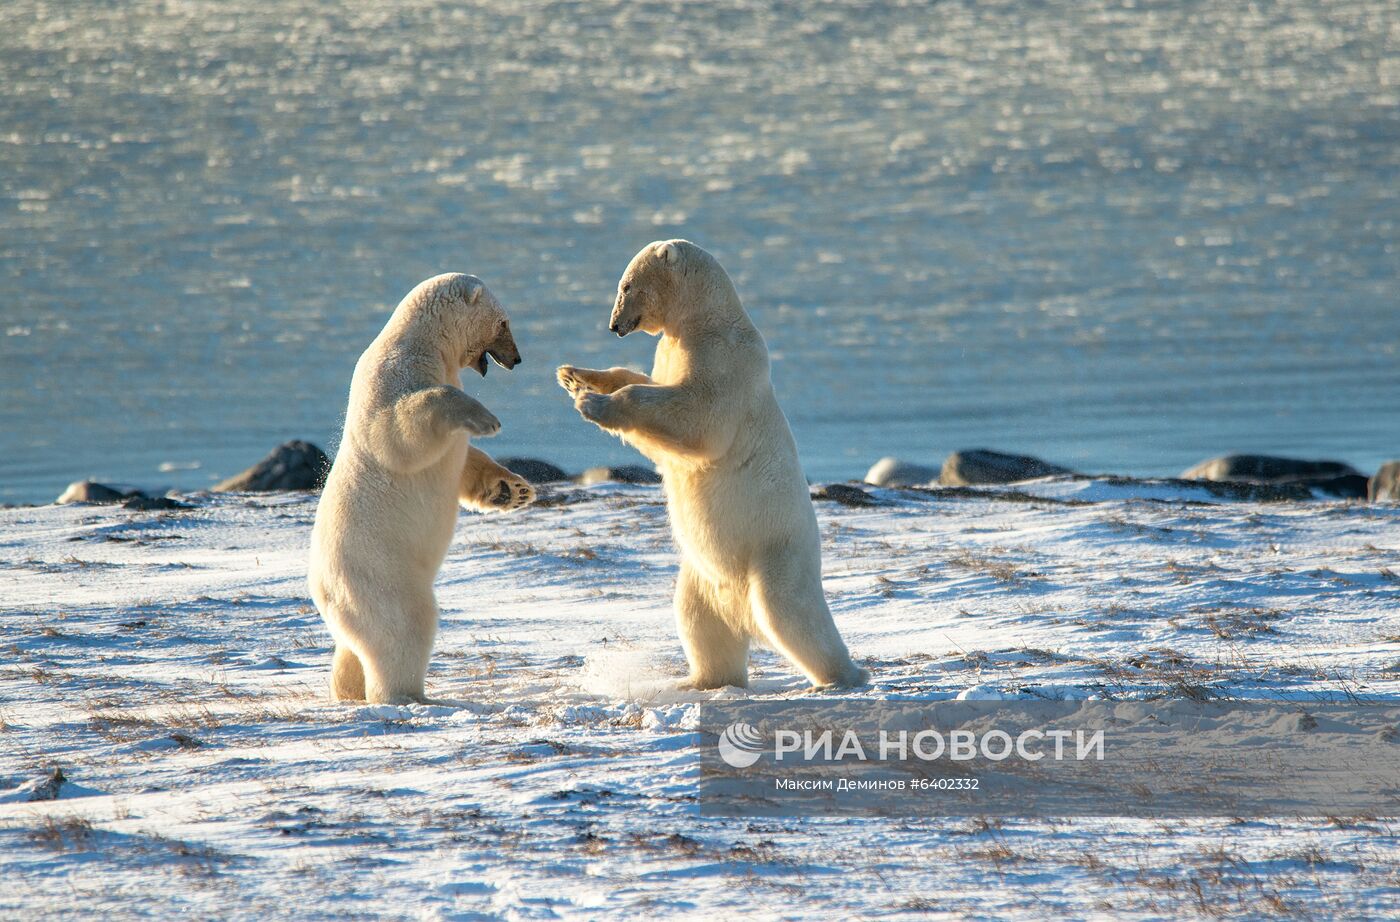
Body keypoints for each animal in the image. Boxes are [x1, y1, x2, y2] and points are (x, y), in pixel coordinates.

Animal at [309, 270, 532, 702]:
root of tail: (321, 590)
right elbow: (399, 430)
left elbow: (463, 461)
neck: (425, 343)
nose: (516, 359)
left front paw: (513, 490)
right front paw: (487, 419)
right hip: (379, 575)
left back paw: (347, 691)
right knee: (404, 627)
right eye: (504, 322)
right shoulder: (393, 375)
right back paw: (409, 695)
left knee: (352, 649)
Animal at [554, 242, 862, 688]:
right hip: (703, 576)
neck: (705, 317)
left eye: (626, 285)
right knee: (697, 619)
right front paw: (575, 376)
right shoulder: (674, 350)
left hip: (775, 553)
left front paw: (593, 402)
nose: (614, 325)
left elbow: (699, 417)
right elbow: (652, 392)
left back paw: (843, 675)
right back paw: (701, 680)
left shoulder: (723, 357)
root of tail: (742, 611)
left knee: (791, 615)